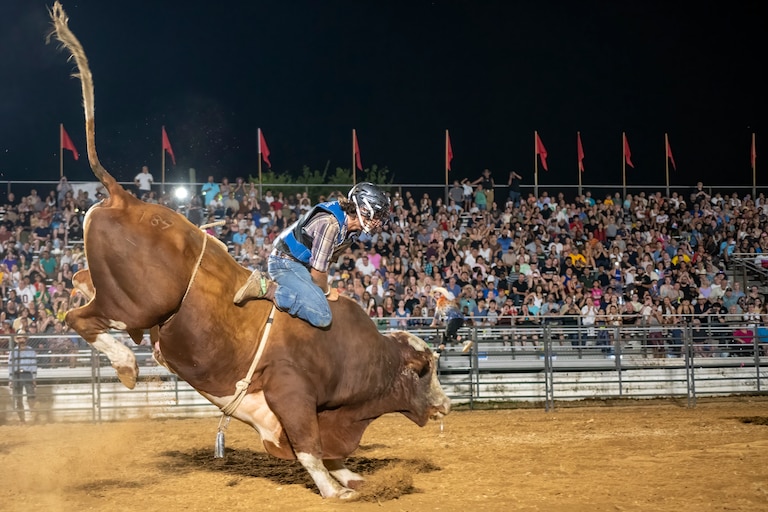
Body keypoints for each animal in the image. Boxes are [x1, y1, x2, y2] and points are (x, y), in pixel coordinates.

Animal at [49, 2, 450, 499]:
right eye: (424, 370)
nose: (446, 405)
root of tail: (128, 198)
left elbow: (326, 449)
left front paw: (351, 476)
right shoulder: (291, 392)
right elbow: (310, 446)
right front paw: (334, 489)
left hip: (117, 292)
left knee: (80, 289)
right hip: (139, 304)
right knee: (80, 318)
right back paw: (126, 364)